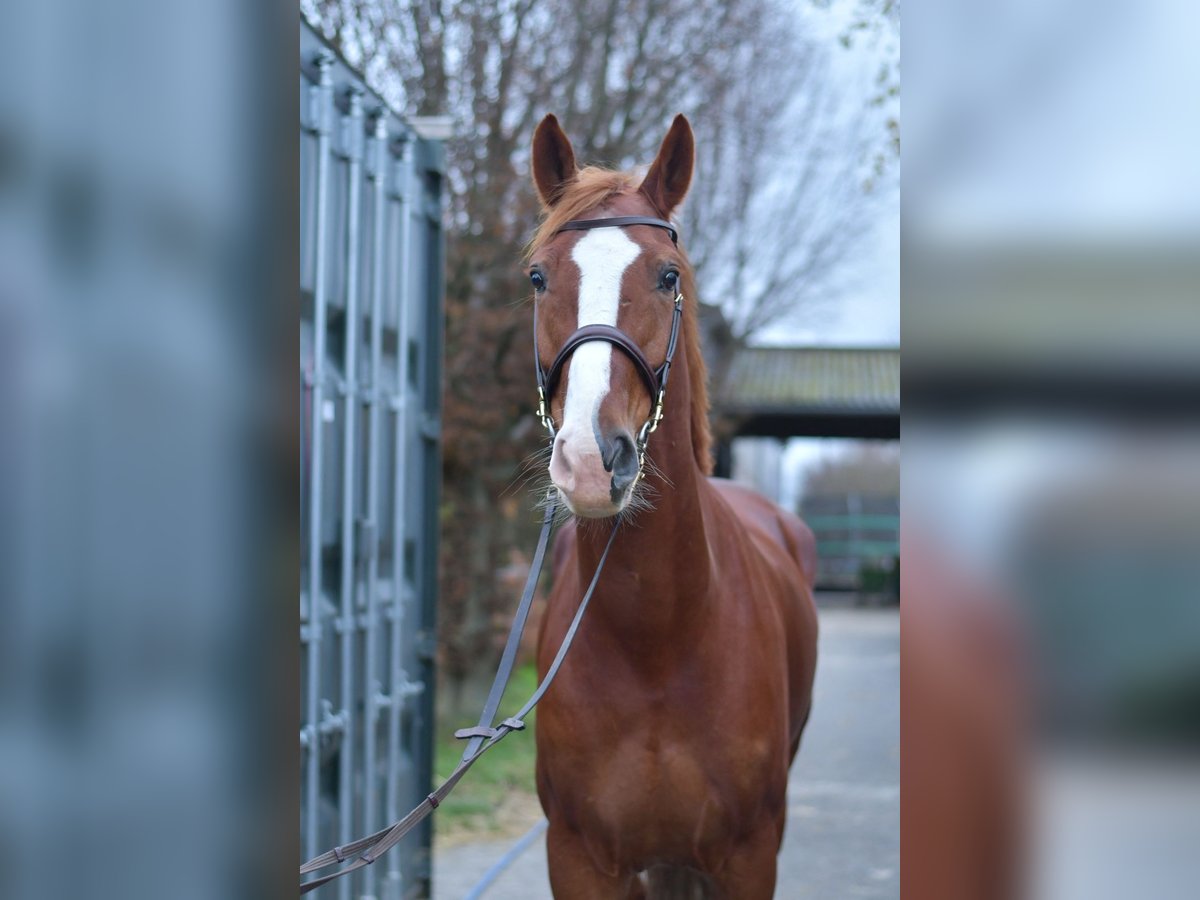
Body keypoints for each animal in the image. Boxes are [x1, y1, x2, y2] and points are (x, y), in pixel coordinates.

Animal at [526, 113, 819, 899]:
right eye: (538, 277)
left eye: (667, 275)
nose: (590, 461)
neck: (657, 636)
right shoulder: (579, 859)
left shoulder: (749, 859)